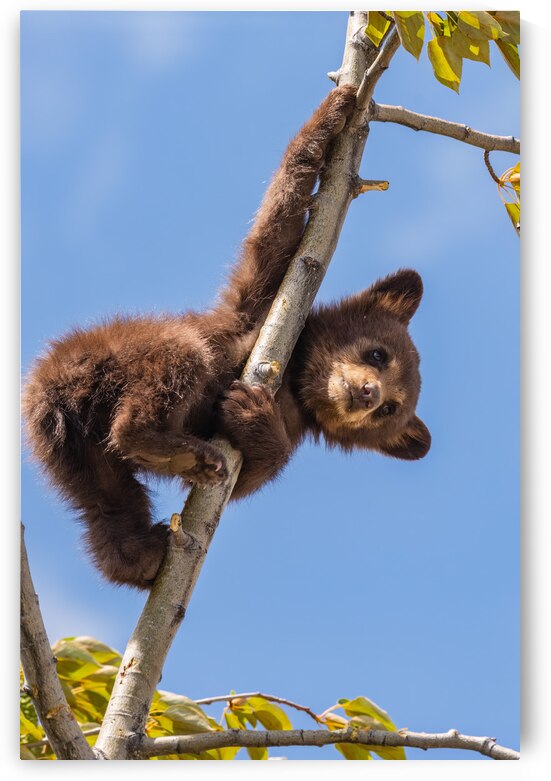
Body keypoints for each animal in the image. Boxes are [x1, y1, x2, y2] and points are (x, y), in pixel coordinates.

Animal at [22, 85, 430, 589]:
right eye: (378, 353)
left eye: (391, 410)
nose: (370, 394)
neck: (296, 381)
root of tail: (49, 389)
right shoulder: (264, 306)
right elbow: (278, 229)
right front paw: (336, 109)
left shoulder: (296, 423)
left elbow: (247, 479)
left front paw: (250, 415)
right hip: (105, 357)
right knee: (181, 355)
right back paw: (161, 443)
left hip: (72, 453)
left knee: (106, 500)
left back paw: (145, 546)